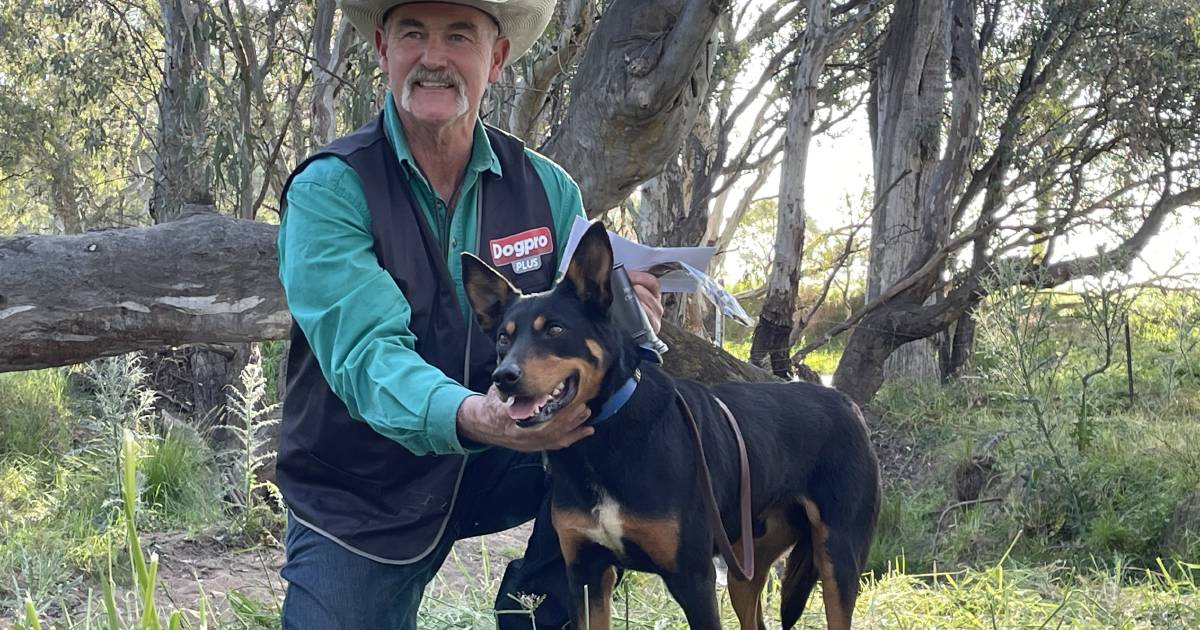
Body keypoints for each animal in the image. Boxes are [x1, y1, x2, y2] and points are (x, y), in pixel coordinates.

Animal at [460, 220, 883, 628]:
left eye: (555, 330)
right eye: (502, 339)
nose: (504, 377)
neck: (604, 440)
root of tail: (845, 401)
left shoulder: (693, 579)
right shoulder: (585, 574)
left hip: (837, 557)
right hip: (745, 566)